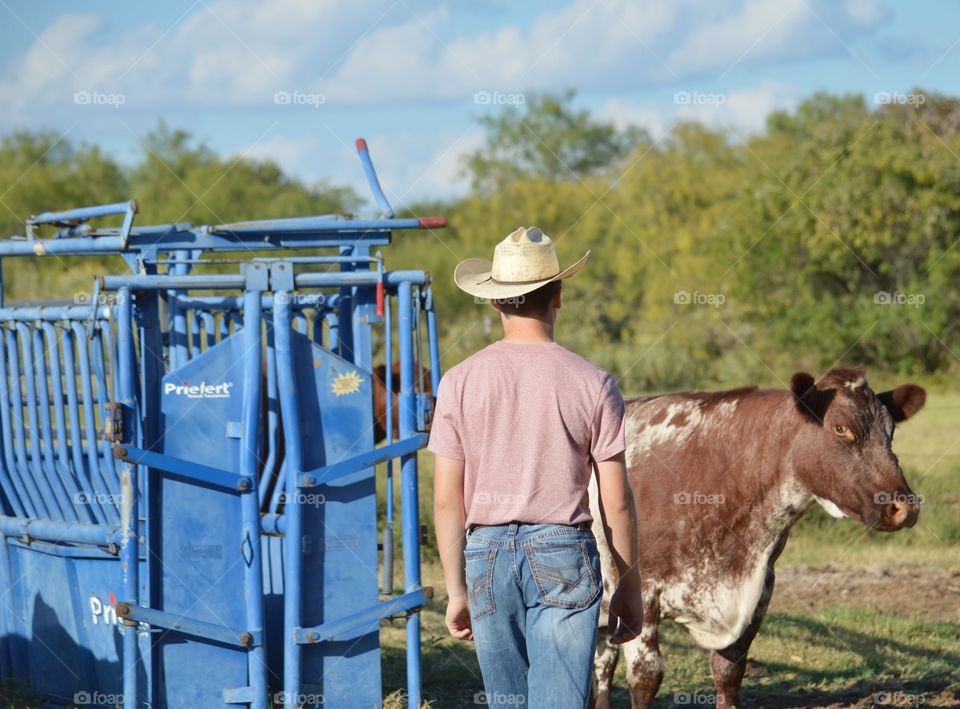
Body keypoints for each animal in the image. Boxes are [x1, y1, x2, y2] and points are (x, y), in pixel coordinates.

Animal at [588, 368, 928, 704]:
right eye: (841, 428)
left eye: (891, 432)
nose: (905, 506)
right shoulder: (641, 591)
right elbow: (647, 676)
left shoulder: (760, 589)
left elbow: (728, 672)